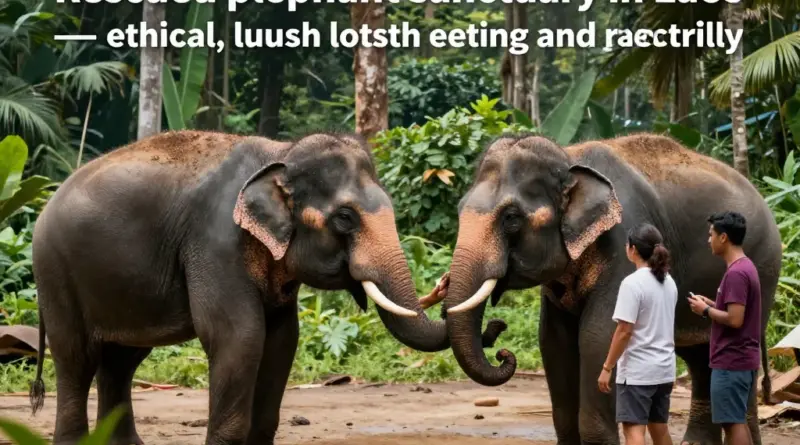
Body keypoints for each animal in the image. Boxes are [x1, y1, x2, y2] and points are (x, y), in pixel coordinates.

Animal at [28, 130, 506, 445]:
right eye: (345, 218)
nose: (498, 332)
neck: (281, 153)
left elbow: (281, 339)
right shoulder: (214, 241)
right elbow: (239, 336)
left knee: (120, 362)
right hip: (55, 272)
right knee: (77, 359)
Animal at [437, 133, 781, 445]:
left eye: (511, 218)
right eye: (459, 209)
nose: (501, 348)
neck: (569, 157)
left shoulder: (622, 241)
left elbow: (598, 336)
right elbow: (554, 341)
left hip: (762, 269)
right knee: (699, 356)